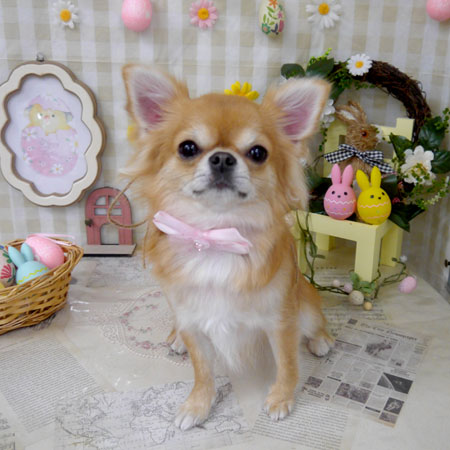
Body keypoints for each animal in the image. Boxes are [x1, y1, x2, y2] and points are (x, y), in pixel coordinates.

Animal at [121, 66, 334, 430]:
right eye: (187, 148)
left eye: (258, 153)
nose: (222, 158)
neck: (215, 234)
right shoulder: (193, 319)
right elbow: (202, 370)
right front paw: (198, 405)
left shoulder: (281, 319)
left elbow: (288, 362)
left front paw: (281, 398)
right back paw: (175, 338)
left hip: (304, 303)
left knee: (315, 320)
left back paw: (321, 340)